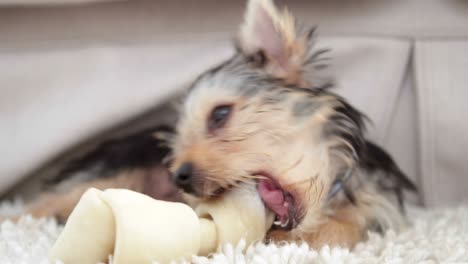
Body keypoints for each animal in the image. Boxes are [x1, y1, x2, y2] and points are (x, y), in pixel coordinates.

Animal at [24, 0, 414, 248]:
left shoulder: (379, 210)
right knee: (38, 207)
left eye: (220, 115)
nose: (177, 176)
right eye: (174, 147)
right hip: (109, 171)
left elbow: (345, 228)